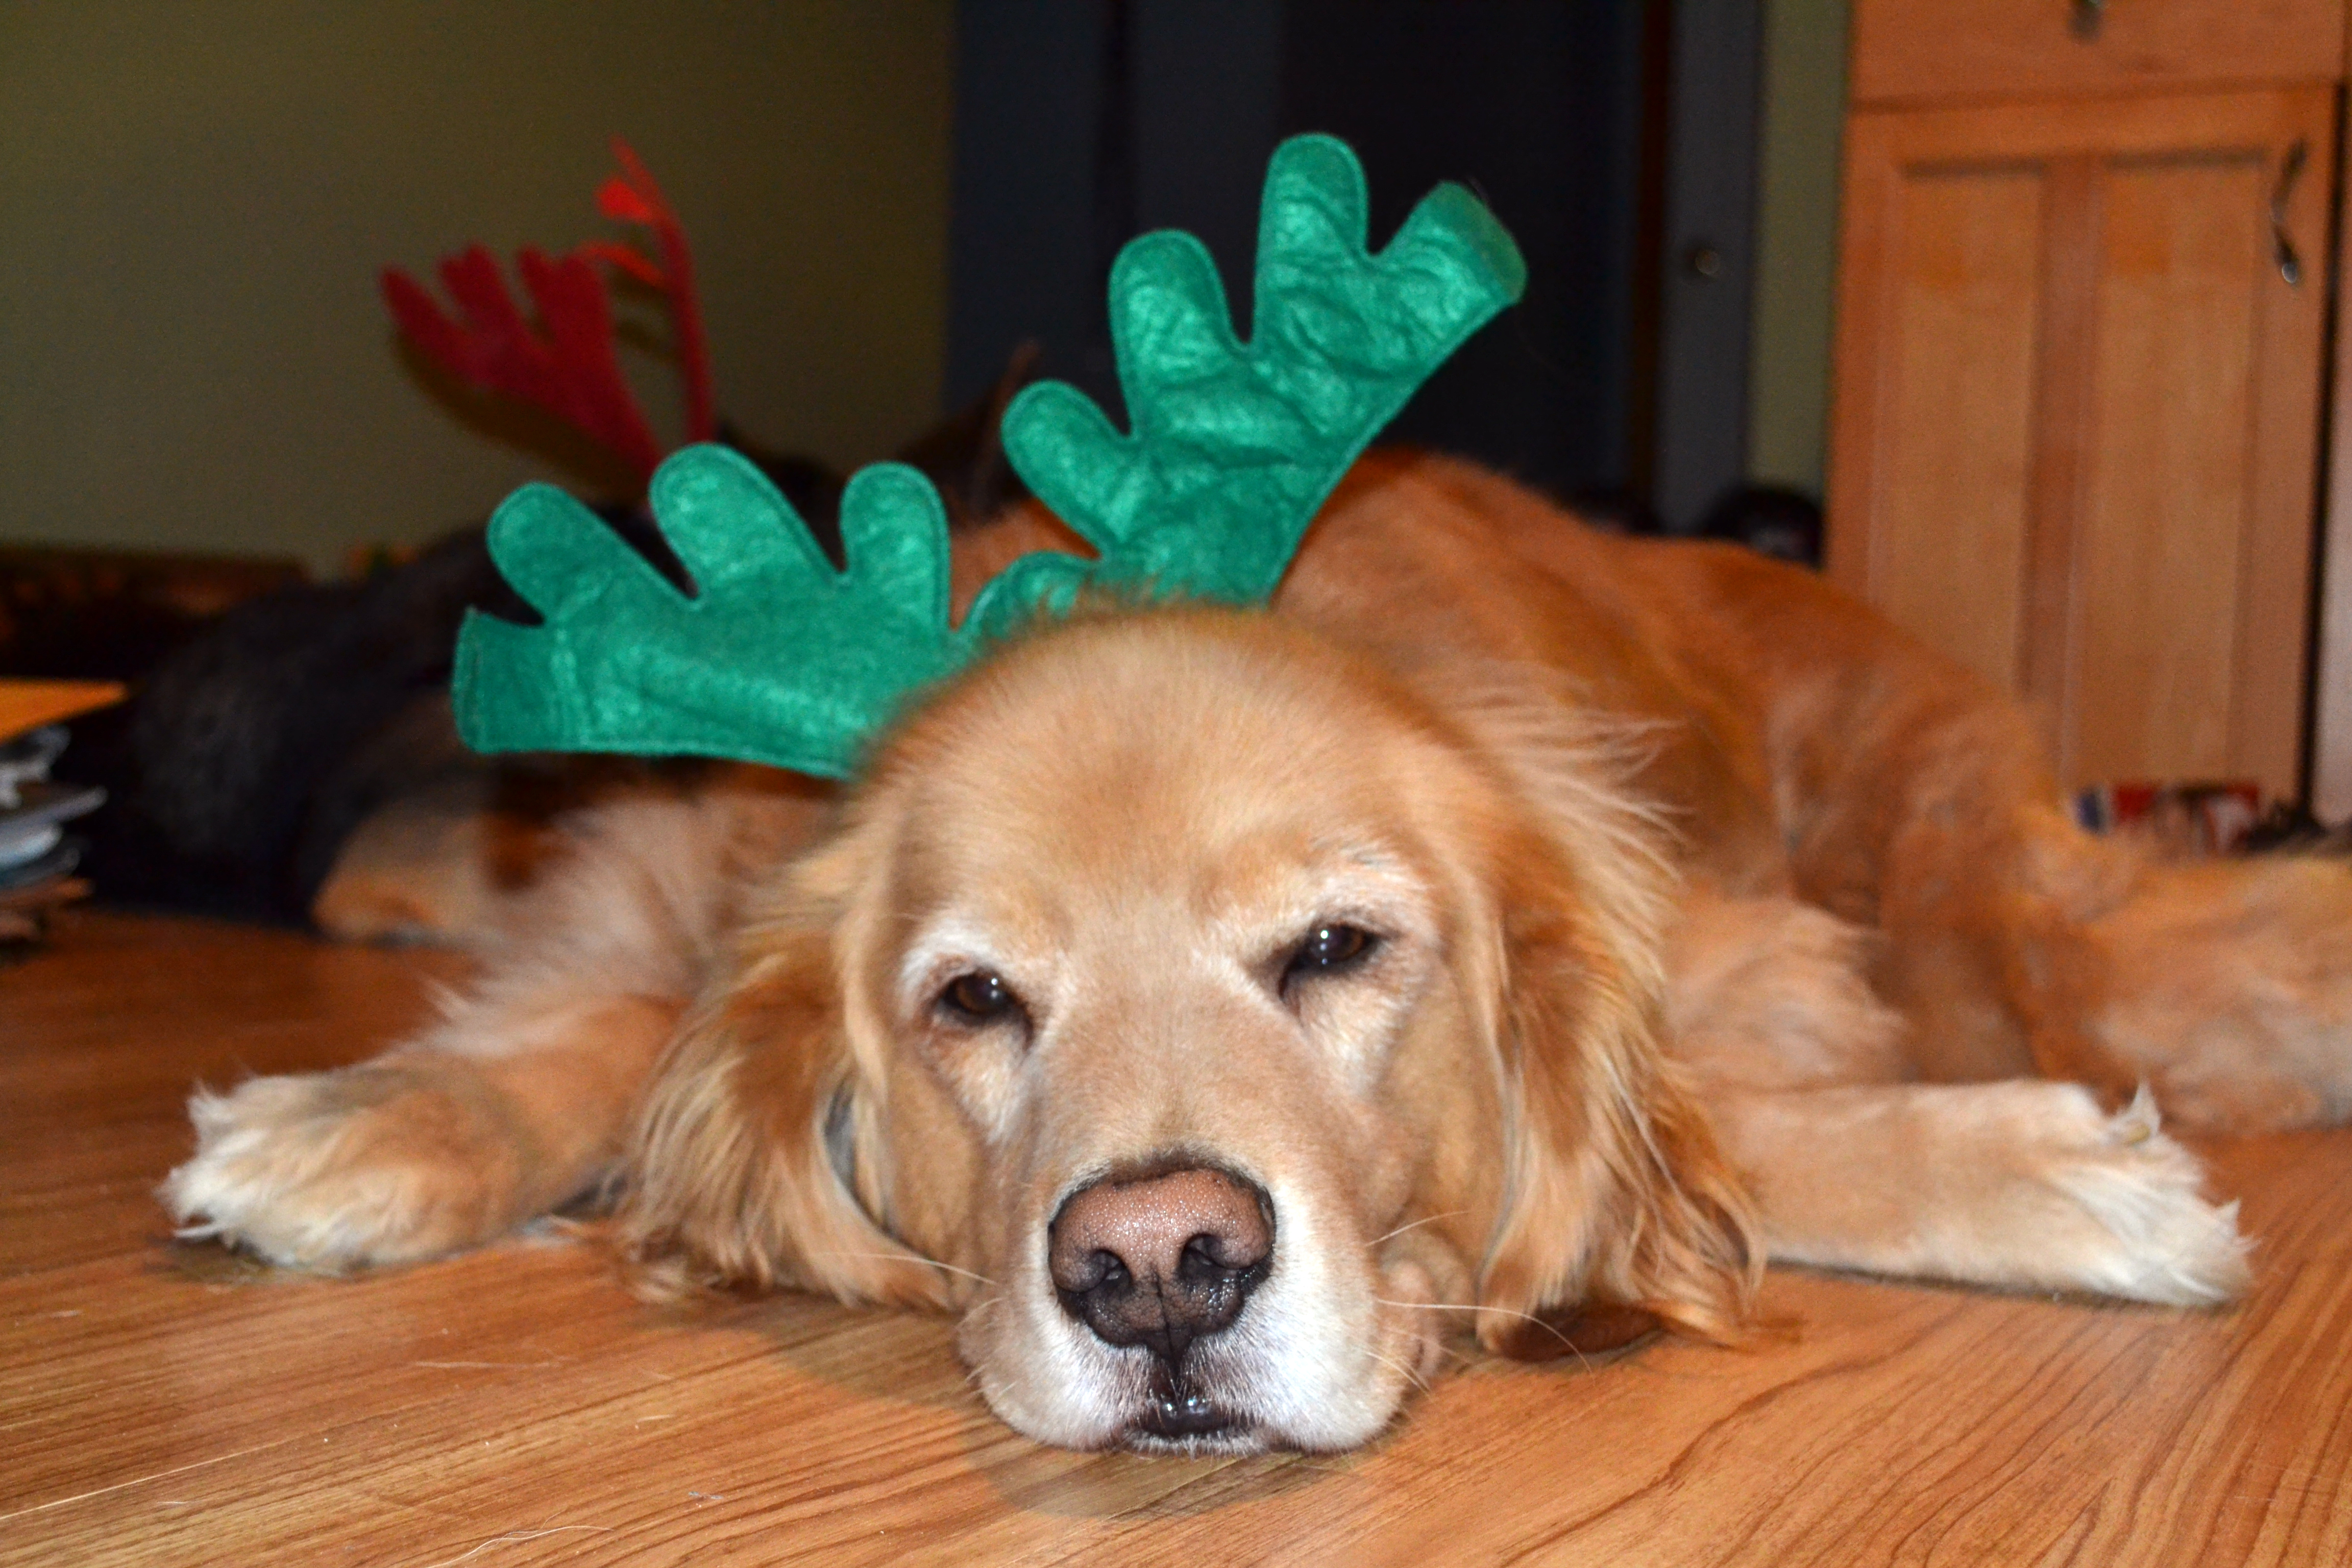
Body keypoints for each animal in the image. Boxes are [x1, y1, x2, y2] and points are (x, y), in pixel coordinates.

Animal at [165, 453, 2352, 1457]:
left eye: (1330, 948)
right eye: (972, 999)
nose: (1155, 1272)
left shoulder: (1744, 962)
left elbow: (1741, 1129)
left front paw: (2058, 1179)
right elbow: (621, 1018)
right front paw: (361, 1122)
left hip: (1944, 864)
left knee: (2103, 958)